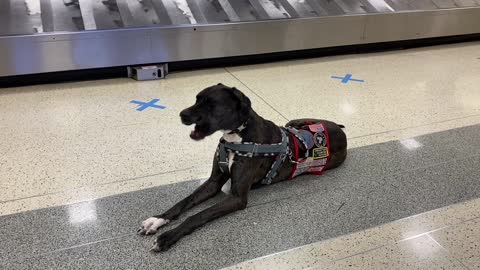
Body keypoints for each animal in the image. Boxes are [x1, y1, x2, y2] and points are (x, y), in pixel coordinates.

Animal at [137, 84, 346, 251]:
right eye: (197, 99)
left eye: (210, 104)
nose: (182, 114)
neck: (236, 136)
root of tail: (340, 130)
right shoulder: (213, 183)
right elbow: (183, 202)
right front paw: (157, 220)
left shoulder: (237, 198)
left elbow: (197, 216)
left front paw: (167, 237)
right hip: (293, 122)